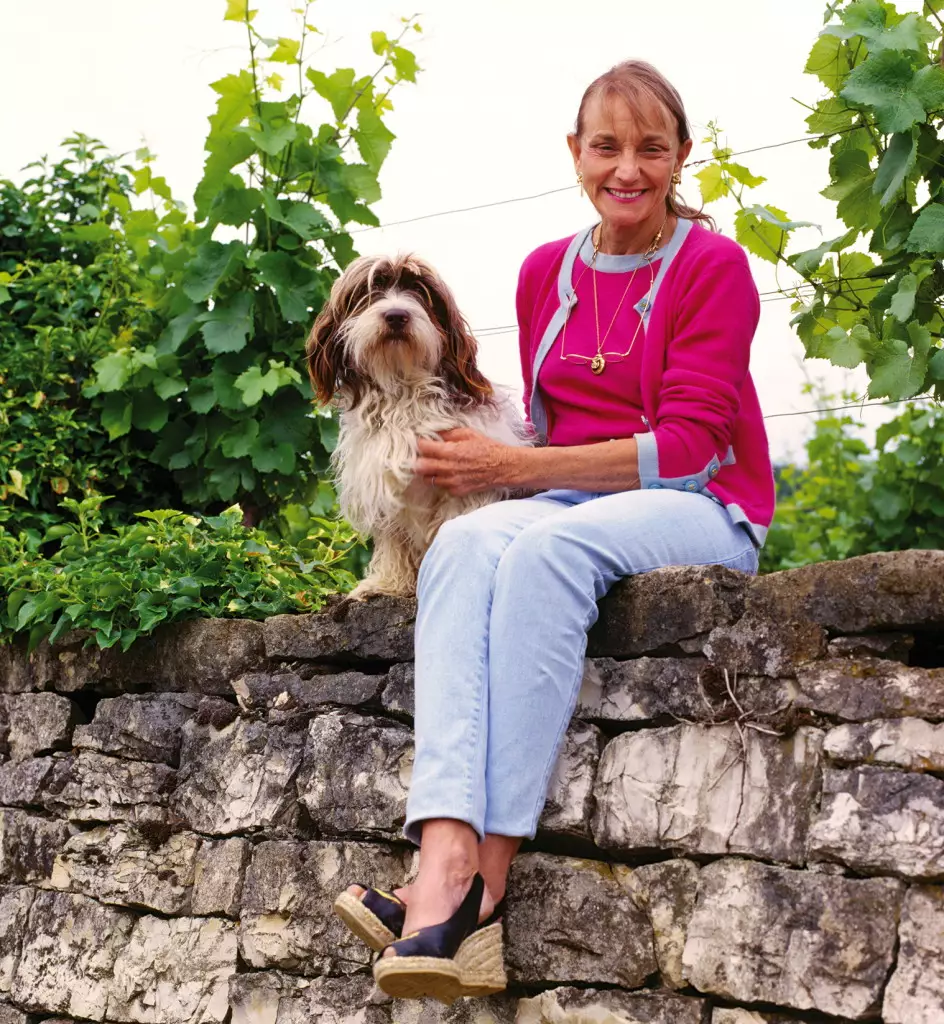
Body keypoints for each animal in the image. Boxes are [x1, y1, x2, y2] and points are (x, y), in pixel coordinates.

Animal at [309, 252, 528, 598]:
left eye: (420, 291)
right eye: (371, 290)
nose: (397, 315)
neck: (403, 390)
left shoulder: (464, 484)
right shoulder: (383, 478)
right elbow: (392, 535)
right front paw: (387, 582)